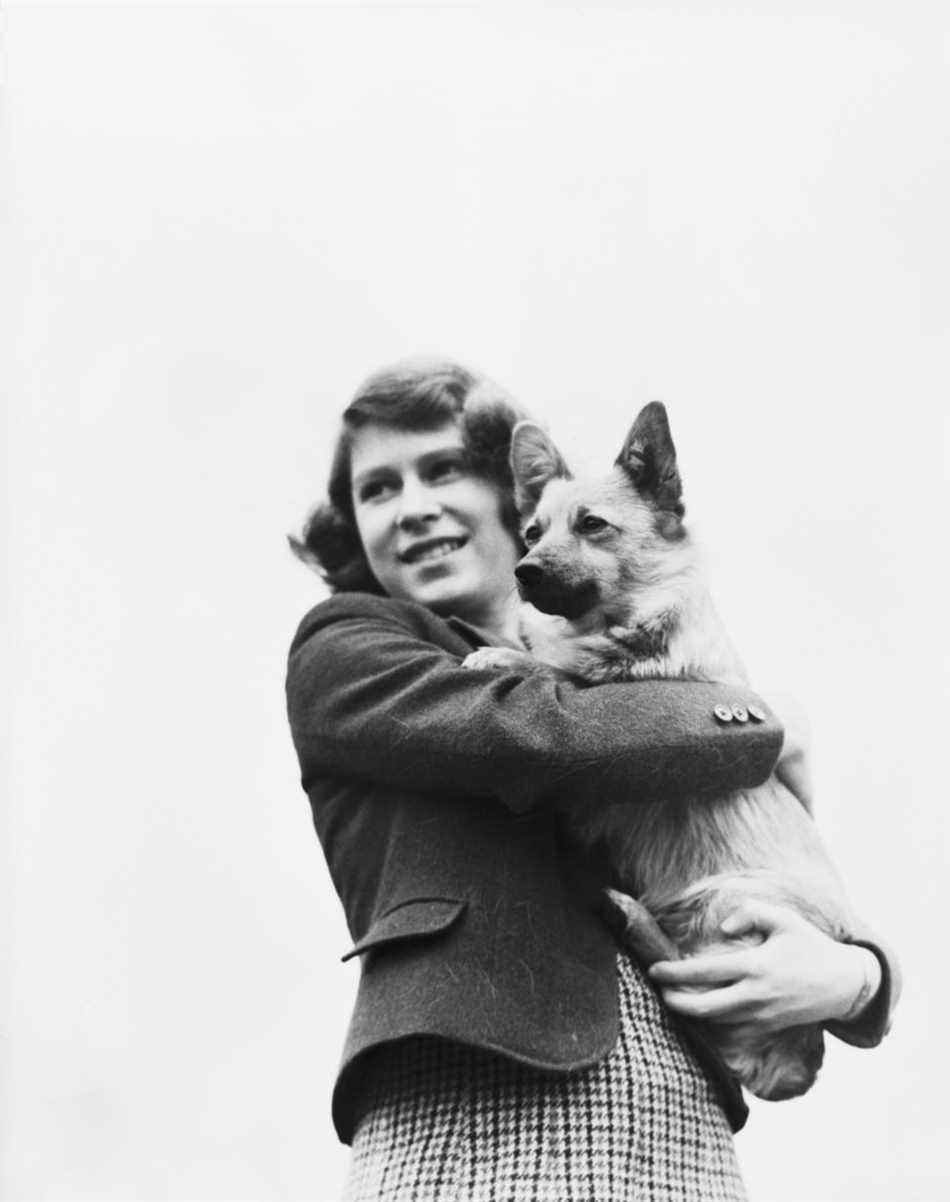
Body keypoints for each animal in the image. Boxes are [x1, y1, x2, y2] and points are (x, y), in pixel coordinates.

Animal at [464, 401, 861, 1101]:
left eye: (592, 525)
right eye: (532, 532)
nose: (523, 571)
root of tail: (800, 1061)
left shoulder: (616, 683)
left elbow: (557, 671)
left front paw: (500, 655)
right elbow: (555, 659)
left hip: (728, 904)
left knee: (694, 997)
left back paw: (635, 919)